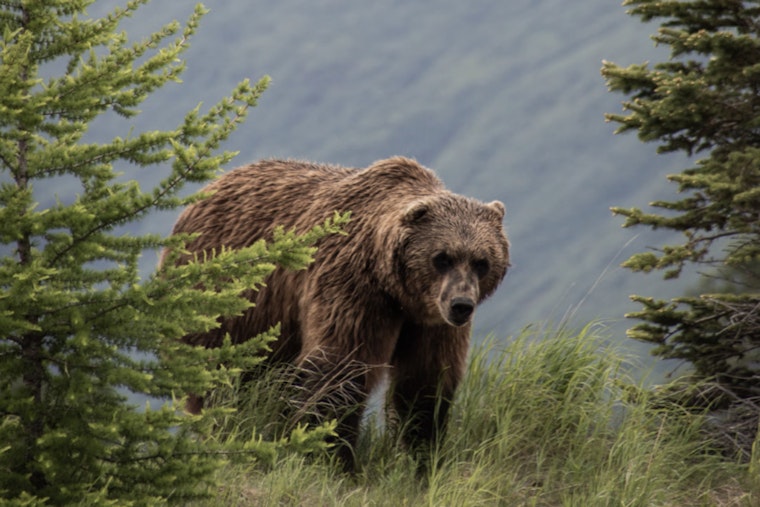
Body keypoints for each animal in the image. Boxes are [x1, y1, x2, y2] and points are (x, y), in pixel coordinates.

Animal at [162, 156, 510, 469]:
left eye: (481, 261)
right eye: (442, 257)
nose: (461, 305)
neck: (395, 290)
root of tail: (205, 191)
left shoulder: (430, 322)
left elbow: (424, 382)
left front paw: (420, 456)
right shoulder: (353, 288)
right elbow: (339, 368)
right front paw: (331, 458)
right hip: (225, 303)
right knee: (222, 378)